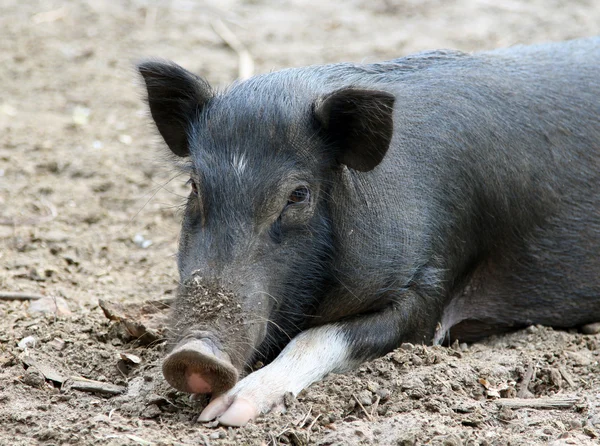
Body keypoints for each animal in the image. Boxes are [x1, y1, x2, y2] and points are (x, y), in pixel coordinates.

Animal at [138, 37, 600, 426]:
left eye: (298, 195)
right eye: (194, 186)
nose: (194, 354)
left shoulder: (433, 282)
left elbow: (321, 336)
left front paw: (227, 413)